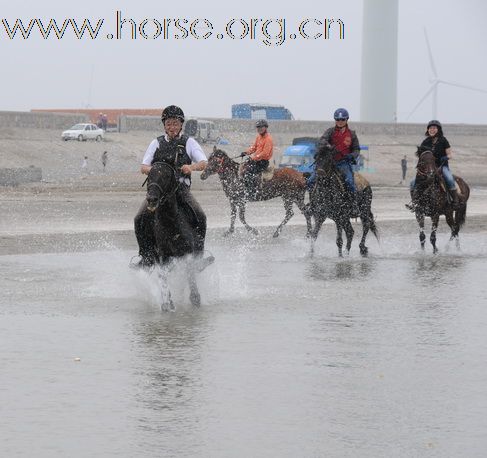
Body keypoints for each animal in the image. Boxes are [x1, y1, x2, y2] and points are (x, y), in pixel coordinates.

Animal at [147, 162, 204, 312]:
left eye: (166, 176)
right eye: (149, 175)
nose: (151, 199)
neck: (171, 223)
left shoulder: (187, 253)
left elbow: (190, 276)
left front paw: (195, 299)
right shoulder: (163, 256)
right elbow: (163, 277)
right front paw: (167, 303)